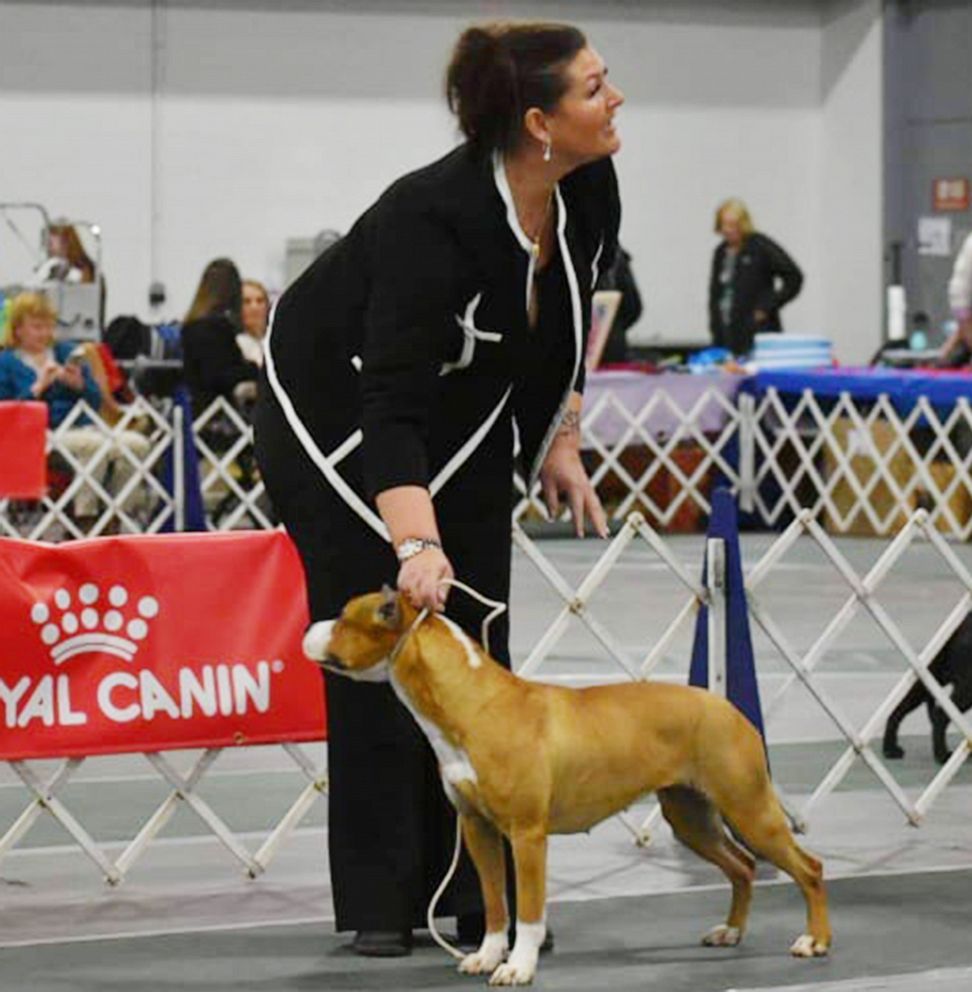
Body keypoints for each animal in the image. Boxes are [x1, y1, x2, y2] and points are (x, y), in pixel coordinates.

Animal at [308, 588, 832, 984]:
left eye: (345, 618)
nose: (309, 628)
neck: (469, 702)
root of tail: (728, 708)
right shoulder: (478, 828)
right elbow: (495, 903)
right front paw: (487, 955)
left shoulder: (526, 836)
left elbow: (528, 912)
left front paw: (518, 967)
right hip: (690, 817)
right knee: (742, 866)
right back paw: (730, 931)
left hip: (749, 808)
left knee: (808, 868)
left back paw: (815, 940)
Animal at [880, 612, 972, 768]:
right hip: (966, 688)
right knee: (940, 715)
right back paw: (942, 756)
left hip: (929, 677)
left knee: (901, 706)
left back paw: (890, 749)